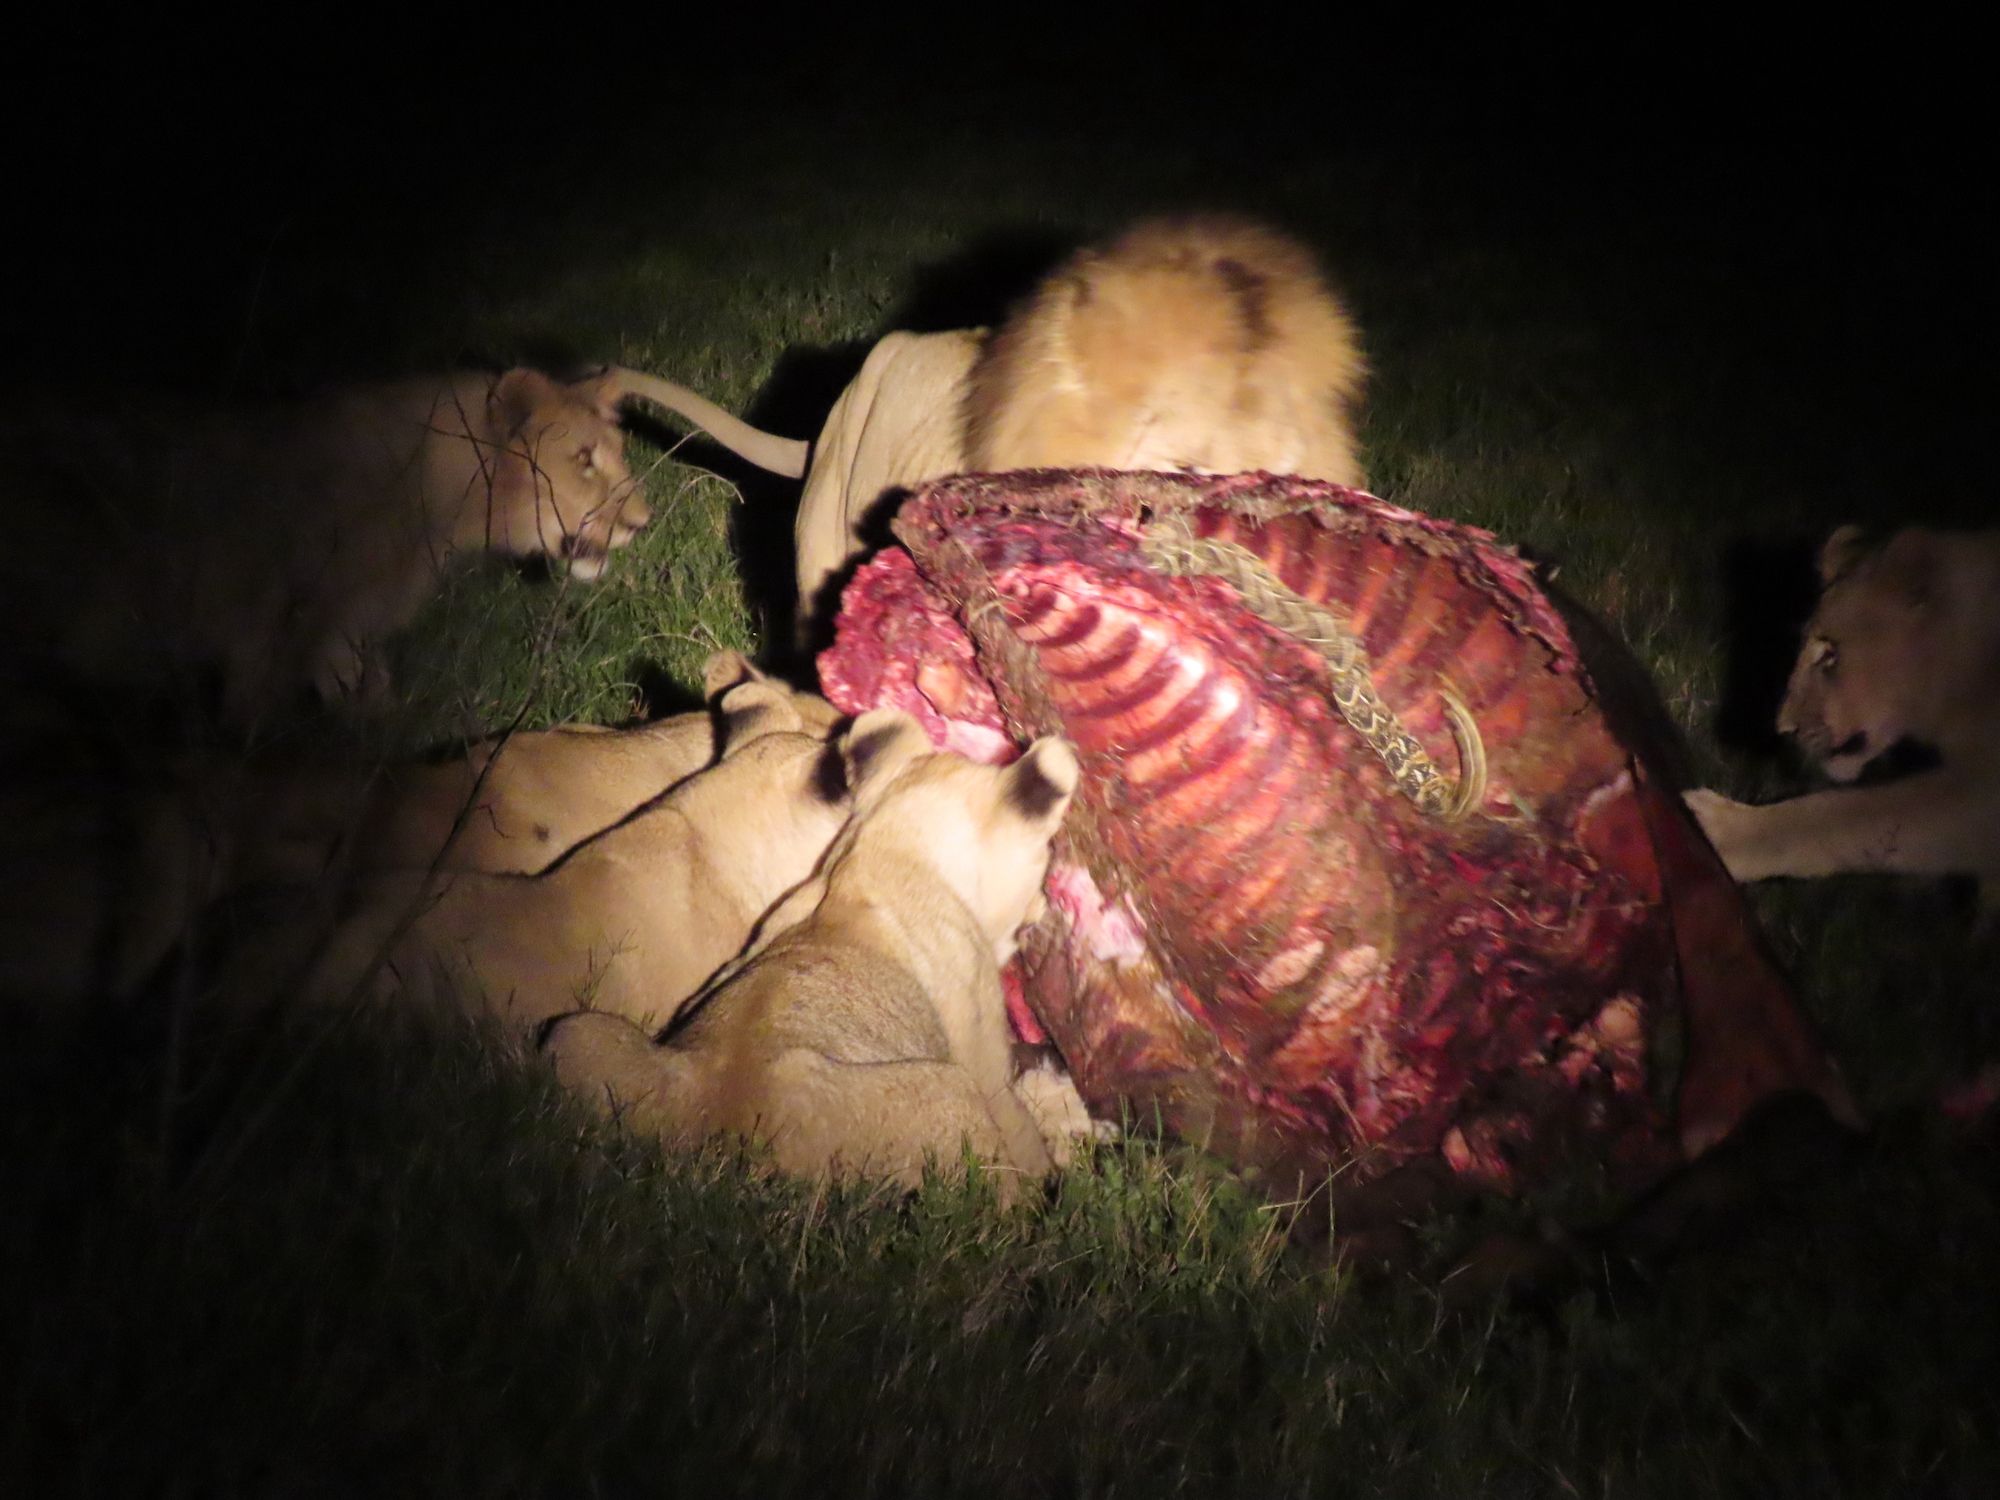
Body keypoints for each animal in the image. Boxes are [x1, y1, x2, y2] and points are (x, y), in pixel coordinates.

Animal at [544, 712, 1096, 1200]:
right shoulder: (982, 1056)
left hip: (576, 1035)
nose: (1045, 905)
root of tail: (716, 1154)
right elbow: (1021, 1139)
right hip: (949, 1092)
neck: (886, 850)